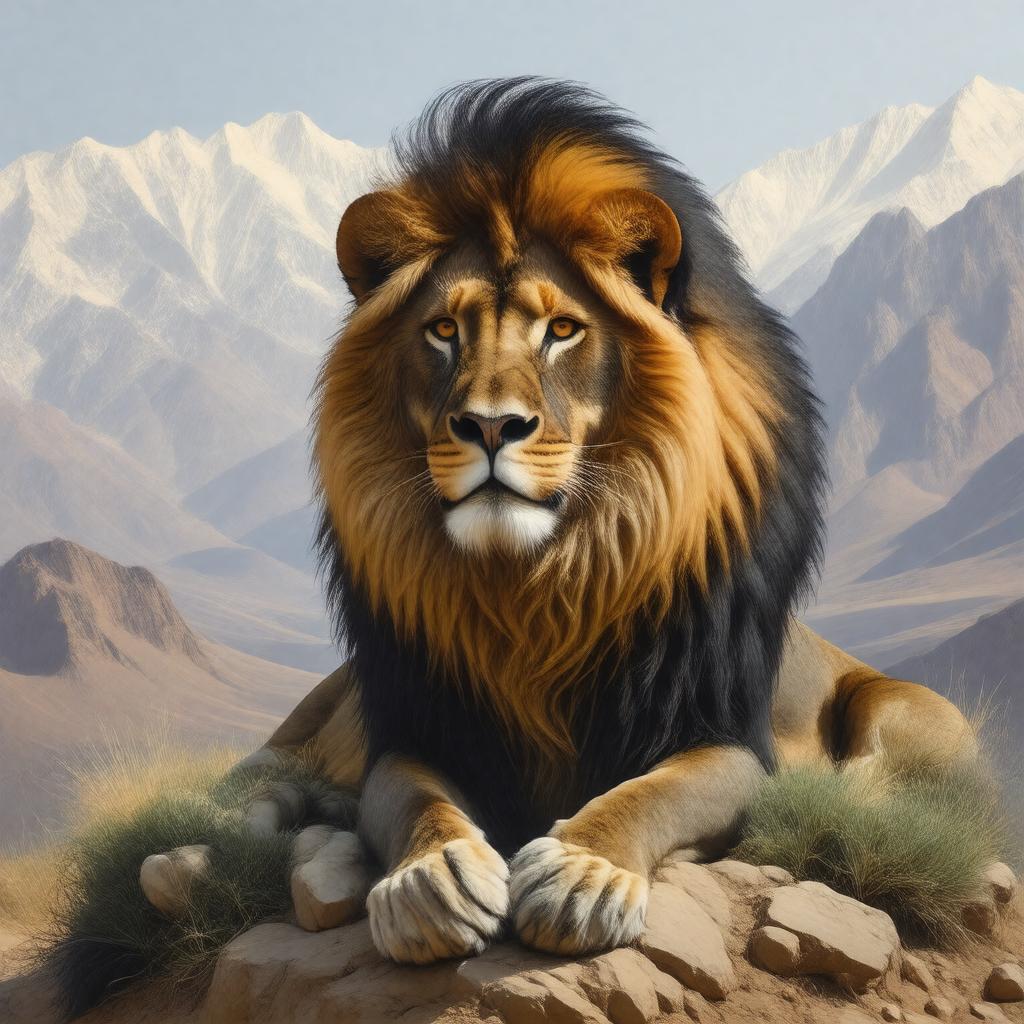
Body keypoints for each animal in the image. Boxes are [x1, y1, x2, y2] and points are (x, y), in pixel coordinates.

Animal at [145, 79, 977, 966]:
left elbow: (654, 793)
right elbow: (413, 801)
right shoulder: (417, 728)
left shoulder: (726, 739)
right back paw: (207, 854)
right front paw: (432, 879)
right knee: (252, 790)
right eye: (444, 330)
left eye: (563, 329)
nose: (489, 426)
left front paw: (584, 873)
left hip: (912, 710)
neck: (536, 588)